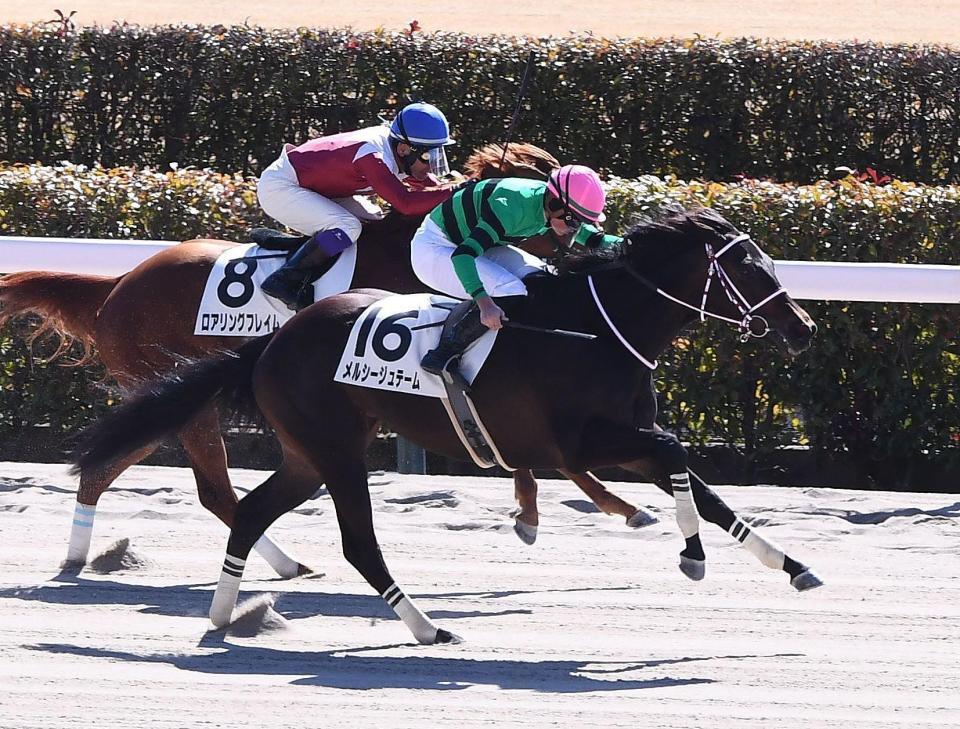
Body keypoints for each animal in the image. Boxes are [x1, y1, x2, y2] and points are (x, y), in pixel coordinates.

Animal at [0, 142, 650, 575]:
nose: (600, 238)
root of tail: (118, 287)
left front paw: (532, 508)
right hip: (179, 397)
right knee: (205, 489)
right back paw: (278, 564)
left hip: (165, 397)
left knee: (106, 470)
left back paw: (82, 558)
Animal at [73, 206, 821, 644]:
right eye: (750, 267)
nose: (803, 329)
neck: (596, 327)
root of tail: (269, 343)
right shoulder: (584, 441)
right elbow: (672, 452)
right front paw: (690, 554)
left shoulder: (617, 439)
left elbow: (705, 488)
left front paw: (792, 566)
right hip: (337, 452)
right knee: (355, 541)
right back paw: (427, 626)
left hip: (309, 454)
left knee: (252, 509)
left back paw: (227, 613)